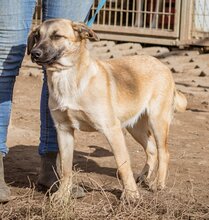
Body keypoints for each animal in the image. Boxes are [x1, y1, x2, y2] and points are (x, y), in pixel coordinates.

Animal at [27, 19, 186, 201]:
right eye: (37, 36)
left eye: (57, 36)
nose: (34, 53)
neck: (67, 76)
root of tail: (162, 65)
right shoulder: (64, 130)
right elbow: (65, 167)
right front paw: (62, 194)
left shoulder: (112, 129)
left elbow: (123, 164)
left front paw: (131, 195)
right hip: (135, 127)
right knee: (151, 150)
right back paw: (143, 176)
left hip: (157, 121)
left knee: (163, 153)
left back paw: (158, 183)